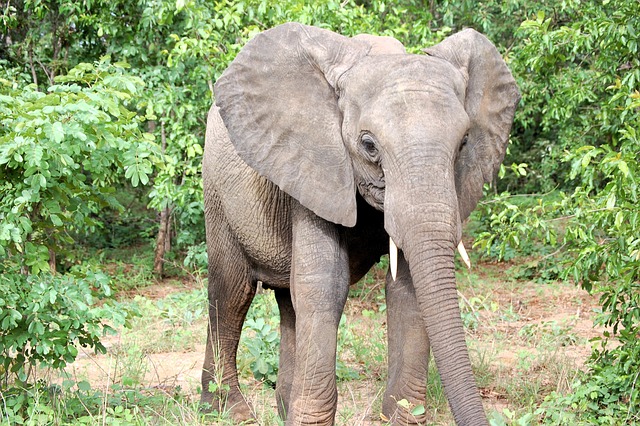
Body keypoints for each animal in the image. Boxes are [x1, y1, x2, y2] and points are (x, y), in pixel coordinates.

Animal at [200, 22, 519, 426]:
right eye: (369, 145)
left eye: (464, 142)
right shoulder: (314, 162)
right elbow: (326, 285)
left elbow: (407, 288)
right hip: (217, 191)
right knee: (232, 293)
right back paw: (230, 412)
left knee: (288, 301)